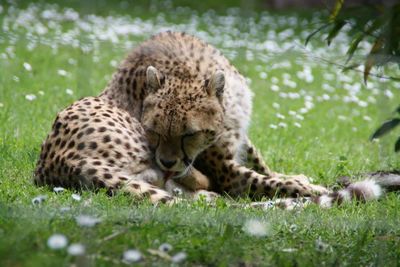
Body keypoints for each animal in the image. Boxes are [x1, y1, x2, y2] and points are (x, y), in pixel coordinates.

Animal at [35, 31, 400, 207]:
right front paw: (306, 186)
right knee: (177, 183)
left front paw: (293, 175)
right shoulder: (224, 169)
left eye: (188, 133)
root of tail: (58, 163)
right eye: (152, 131)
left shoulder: (236, 134)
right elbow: (263, 181)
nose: (168, 160)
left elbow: (261, 163)